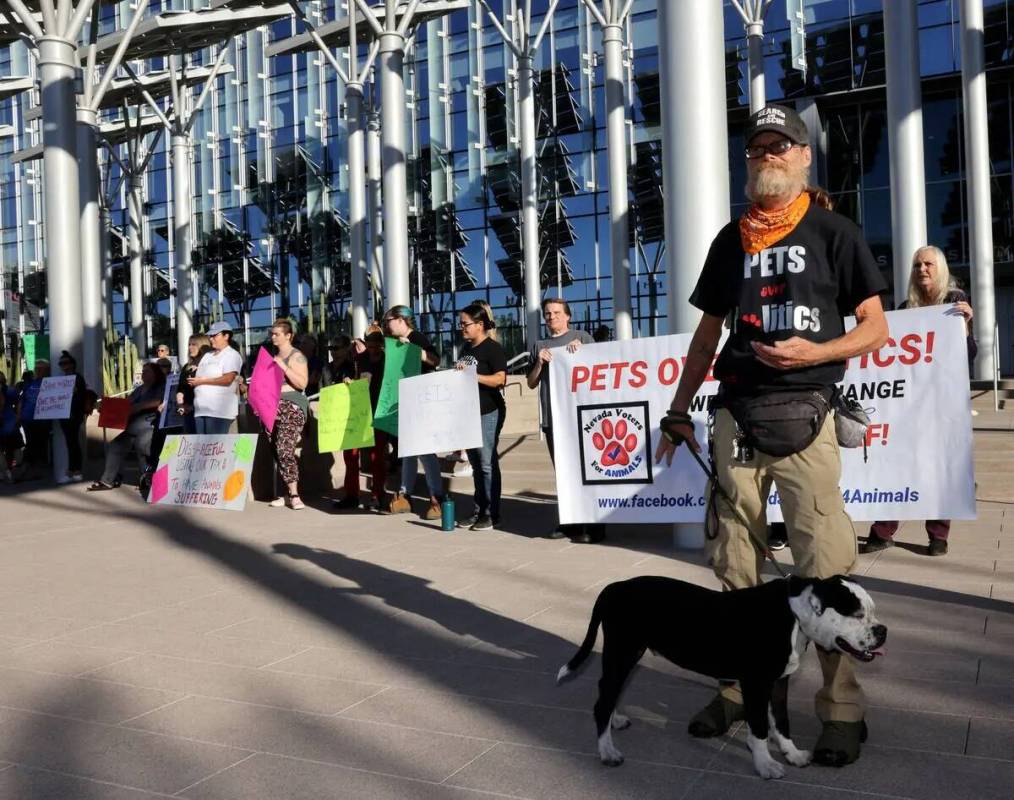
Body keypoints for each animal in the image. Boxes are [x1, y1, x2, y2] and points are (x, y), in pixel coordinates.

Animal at [559, 575, 884, 778]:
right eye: (856, 615)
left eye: (872, 612)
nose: (883, 630)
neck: (794, 615)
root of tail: (613, 588)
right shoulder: (756, 683)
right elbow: (760, 727)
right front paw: (765, 764)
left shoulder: (778, 683)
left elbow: (781, 721)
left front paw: (791, 754)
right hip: (623, 653)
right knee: (602, 700)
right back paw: (607, 750)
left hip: (628, 656)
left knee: (610, 692)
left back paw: (615, 721)